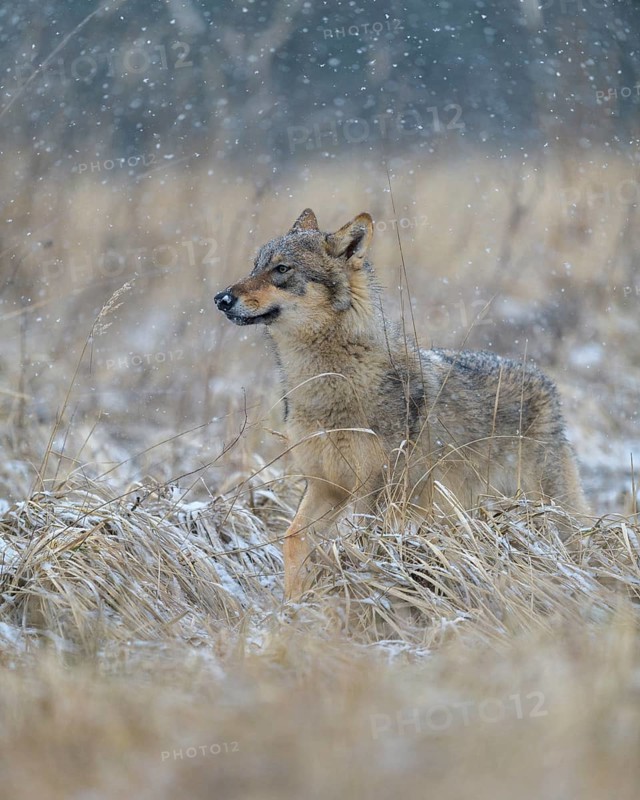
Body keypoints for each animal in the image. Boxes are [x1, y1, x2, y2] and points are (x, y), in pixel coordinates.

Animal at [215, 209, 588, 600]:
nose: (220, 298)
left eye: (282, 269)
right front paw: (294, 604)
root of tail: (545, 381)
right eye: (255, 266)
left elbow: (357, 548)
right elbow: (293, 539)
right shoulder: (324, 485)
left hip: (547, 510)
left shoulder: (374, 491)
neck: (327, 386)